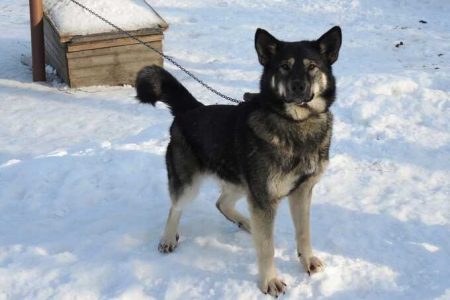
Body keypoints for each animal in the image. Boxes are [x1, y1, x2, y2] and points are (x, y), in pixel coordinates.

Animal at [134, 26, 342, 298]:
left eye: (312, 67)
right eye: (284, 67)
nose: (298, 86)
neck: (297, 123)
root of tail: (190, 109)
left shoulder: (301, 192)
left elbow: (303, 232)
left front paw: (307, 261)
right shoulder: (264, 198)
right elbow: (267, 247)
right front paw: (269, 281)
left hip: (242, 183)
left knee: (222, 203)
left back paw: (246, 222)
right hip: (191, 185)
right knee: (176, 208)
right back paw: (168, 239)